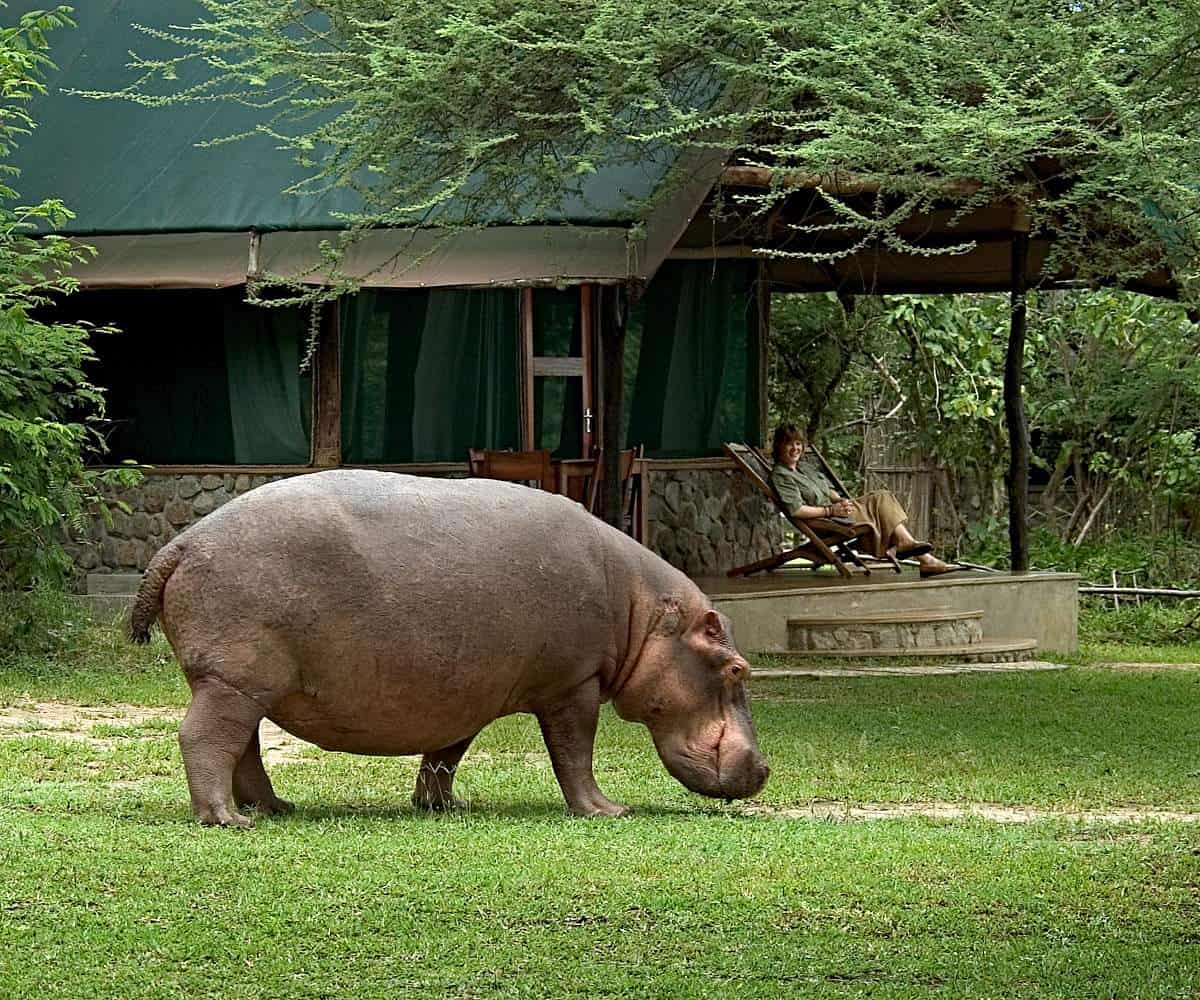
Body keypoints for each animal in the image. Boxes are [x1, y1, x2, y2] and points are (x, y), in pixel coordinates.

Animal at [129, 465, 768, 821]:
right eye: (738, 669)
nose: (764, 769)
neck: (641, 611)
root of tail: (180, 543)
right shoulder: (573, 684)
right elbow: (574, 753)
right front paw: (609, 811)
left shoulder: (465, 691)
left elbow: (445, 755)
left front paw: (442, 807)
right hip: (233, 678)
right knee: (205, 737)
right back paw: (227, 820)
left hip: (246, 684)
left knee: (245, 747)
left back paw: (274, 808)